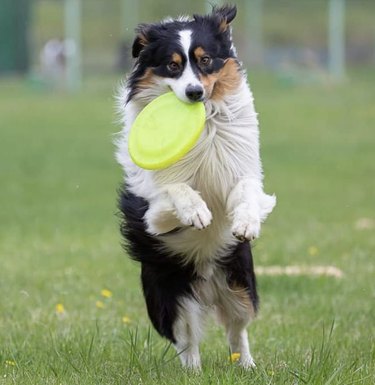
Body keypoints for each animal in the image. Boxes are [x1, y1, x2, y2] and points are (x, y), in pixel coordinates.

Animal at [116, 3, 278, 368]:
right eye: (173, 65)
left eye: (206, 60)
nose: (195, 93)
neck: (204, 125)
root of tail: (206, 285)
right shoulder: (153, 215)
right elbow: (177, 189)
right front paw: (196, 213)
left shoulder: (238, 172)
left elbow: (247, 193)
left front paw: (246, 223)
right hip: (169, 296)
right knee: (187, 341)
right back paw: (193, 371)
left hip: (239, 284)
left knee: (237, 329)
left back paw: (247, 366)